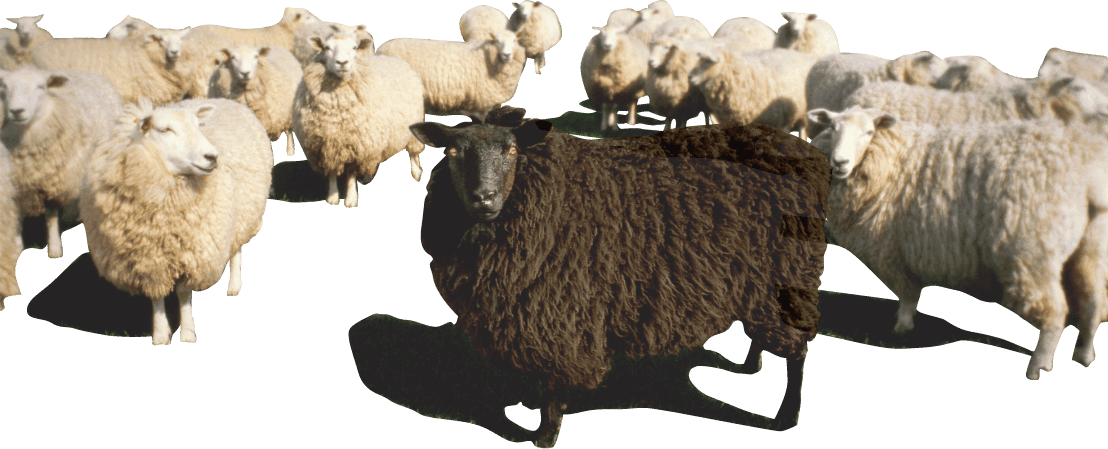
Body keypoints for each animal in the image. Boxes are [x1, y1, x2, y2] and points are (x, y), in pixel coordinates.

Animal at [1, 67, 122, 259]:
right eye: (4, 87)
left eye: (40, 86)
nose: (16, 111)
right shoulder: (16, 183)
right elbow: (16, 214)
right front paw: (15, 248)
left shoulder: (53, 181)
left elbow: (51, 217)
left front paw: (55, 248)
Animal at [80, 97, 272, 346]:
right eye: (165, 130)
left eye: (198, 126)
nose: (212, 157)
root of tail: (225, 99)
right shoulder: (149, 258)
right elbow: (157, 295)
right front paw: (161, 334)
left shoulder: (192, 252)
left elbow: (182, 292)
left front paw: (188, 332)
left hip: (241, 216)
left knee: (236, 250)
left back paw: (234, 286)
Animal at [293, 31, 425, 208]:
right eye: (327, 48)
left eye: (354, 47)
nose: (342, 63)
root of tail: (394, 59)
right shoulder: (327, 146)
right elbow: (333, 172)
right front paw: (333, 197)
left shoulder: (356, 145)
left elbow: (350, 174)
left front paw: (351, 199)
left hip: (410, 128)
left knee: (413, 153)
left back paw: (416, 173)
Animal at [410, 107, 829, 447]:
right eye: (452, 153)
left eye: (512, 151)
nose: (485, 198)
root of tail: (806, 155)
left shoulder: (562, 312)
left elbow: (552, 386)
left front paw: (545, 436)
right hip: (762, 282)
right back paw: (750, 364)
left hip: (790, 276)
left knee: (798, 355)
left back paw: (786, 416)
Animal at [806, 105, 1108, 380]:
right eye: (832, 128)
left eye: (869, 132)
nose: (840, 162)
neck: (894, 160)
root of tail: (1089, 181)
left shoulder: (893, 252)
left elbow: (907, 294)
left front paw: (902, 328)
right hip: (1091, 251)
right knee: (1093, 301)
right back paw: (1084, 355)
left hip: (1033, 255)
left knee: (1055, 313)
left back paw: (1038, 367)